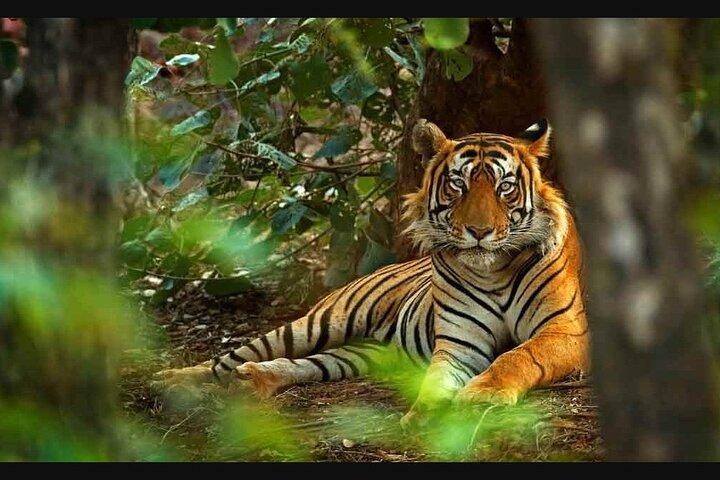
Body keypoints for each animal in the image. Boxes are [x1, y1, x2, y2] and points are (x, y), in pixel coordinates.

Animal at [152, 118, 589, 423]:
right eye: (458, 185)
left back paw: (252, 381)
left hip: (363, 353)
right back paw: (173, 380)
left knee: (304, 365)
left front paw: (482, 395)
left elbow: (518, 356)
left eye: (505, 188)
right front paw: (425, 416)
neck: (493, 271)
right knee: (230, 357)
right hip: (320, 322)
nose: (479, 232)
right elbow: (436, 380)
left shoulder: (566, 330)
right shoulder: (459, 343)